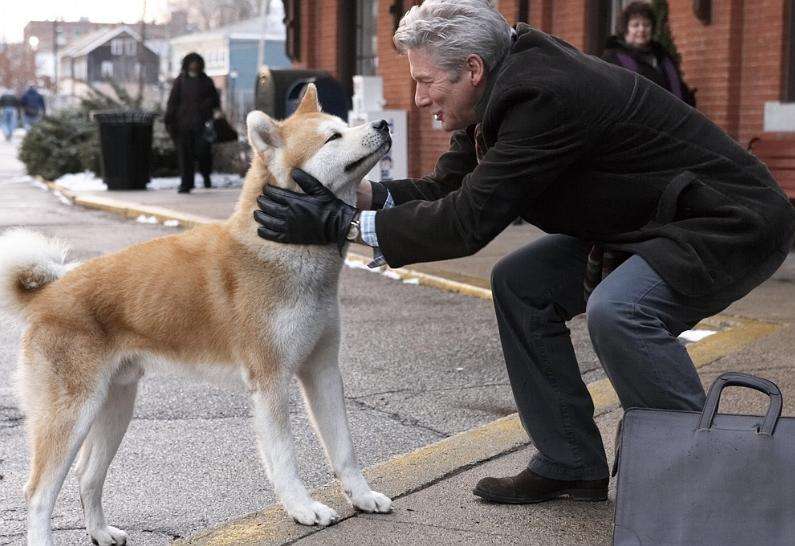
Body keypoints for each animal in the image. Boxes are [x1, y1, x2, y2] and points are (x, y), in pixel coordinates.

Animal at [0, 85, 394, 544]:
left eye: (345, 124)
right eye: (332, 137)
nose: (383, 123)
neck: (282, 248)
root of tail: (48, 294)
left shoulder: (322, 369)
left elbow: (344, 449)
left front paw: (362, 497)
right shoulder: (272, 381)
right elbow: (285, 458)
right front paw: (302, 508)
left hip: (116, 407)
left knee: (87, 478)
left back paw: (100, 532)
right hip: (72, 415)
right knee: (38, 494)